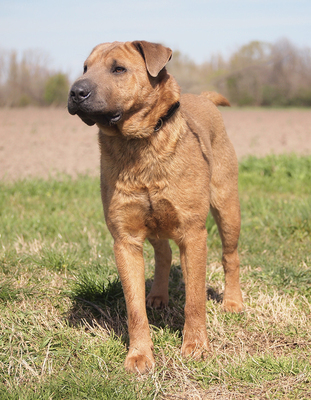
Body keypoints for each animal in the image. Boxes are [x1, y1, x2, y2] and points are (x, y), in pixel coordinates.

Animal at [68, 39, 244, 372]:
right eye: (85, 67)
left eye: (118, 69)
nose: (75, 91)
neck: (140, 144)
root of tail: (204, 100)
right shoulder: (126, 238)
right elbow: (135, 308)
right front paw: (139, 356)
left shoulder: (193, 232)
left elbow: (195, 300)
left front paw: (196, 346)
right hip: (156, 226)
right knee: (164, 255)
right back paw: (159, 296)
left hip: (228, 208)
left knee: (230, 257)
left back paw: (233, 302)